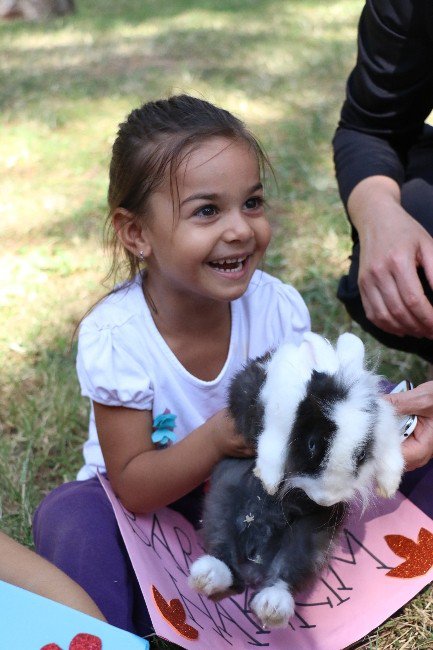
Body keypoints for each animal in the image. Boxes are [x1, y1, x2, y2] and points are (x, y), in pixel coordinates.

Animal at [189, 332, 404, 624]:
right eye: (312, 444)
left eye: (360, 454)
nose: (325, 500)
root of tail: (254, 566)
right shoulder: (267, 408)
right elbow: (272, 443)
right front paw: (268, 481)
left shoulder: (383, 431)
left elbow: (391, 455)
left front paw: (389, 488)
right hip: (219, 507)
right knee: (222, 552)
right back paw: (206, 576)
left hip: (310, 540)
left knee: (286, 573)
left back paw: (271, 608)